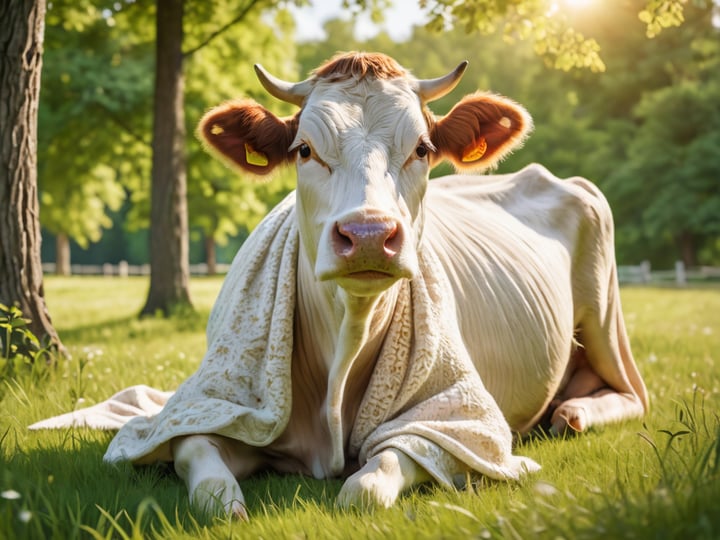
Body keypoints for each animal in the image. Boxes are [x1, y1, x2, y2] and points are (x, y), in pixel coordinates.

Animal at [102, 52, 648, 519]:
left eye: (423, 148)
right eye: (304, 150)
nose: (368, 234)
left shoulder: (452, 420)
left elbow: (370, 481)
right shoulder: (217, 406)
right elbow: (201, 467)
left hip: (605, 316)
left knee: (631, 394)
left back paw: (573, 411)